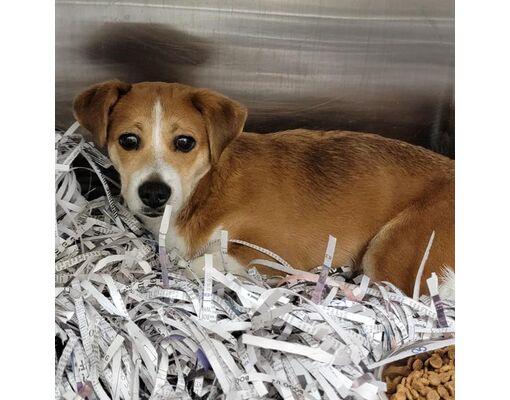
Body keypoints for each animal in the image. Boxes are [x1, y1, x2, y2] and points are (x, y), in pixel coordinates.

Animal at [71, 80, 454, 294]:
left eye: (184, 142)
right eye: (128, 140)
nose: (154, 193)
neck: (205, 189)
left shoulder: (275, 251)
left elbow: (204, 262)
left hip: (392, 251)